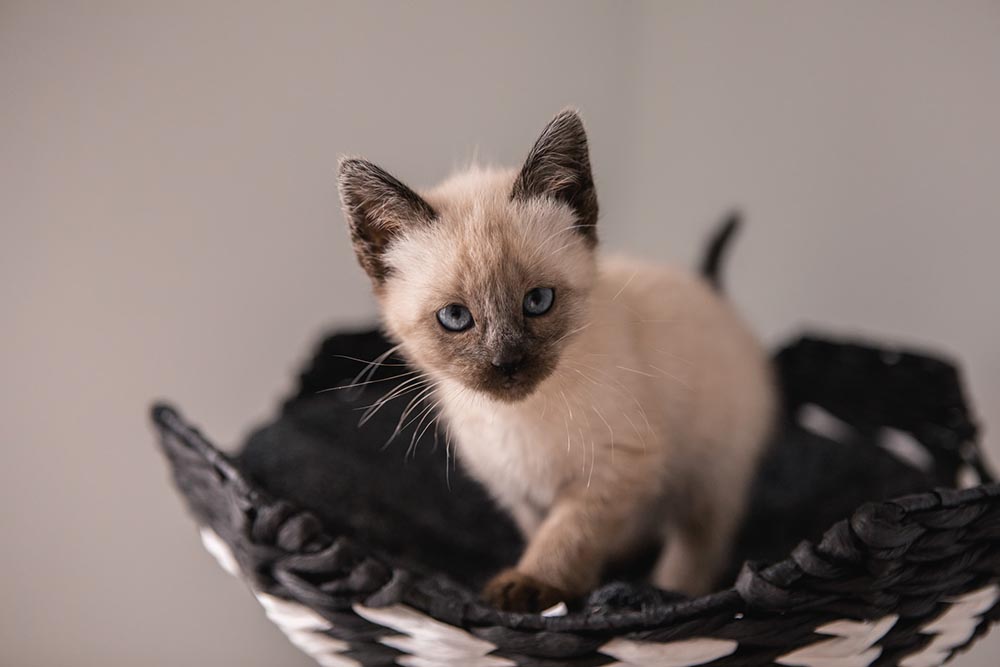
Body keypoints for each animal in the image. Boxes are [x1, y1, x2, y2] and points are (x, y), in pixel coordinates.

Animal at [336, 111, 772, 616]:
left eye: (538, 301)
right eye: (456, 317)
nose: (507, 362)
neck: (515, 420)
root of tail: (709, 287)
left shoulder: (617, 467)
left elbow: (567, 534)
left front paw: (531, 586)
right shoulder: (519, 492)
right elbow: (545, 532)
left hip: (712, 474)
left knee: (699, 544)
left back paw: (675, 588)